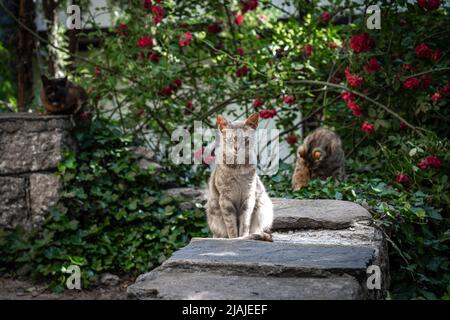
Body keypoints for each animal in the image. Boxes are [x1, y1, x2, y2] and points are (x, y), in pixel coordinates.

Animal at [206, 112, 272, 240]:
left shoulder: (248, 197)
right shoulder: (225, 199)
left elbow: (244, 223)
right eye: (230, 139)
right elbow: (231, 225)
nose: (237, 148)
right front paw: (234, 238)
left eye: (246, 139)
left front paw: (242, 237)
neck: (238, 169)